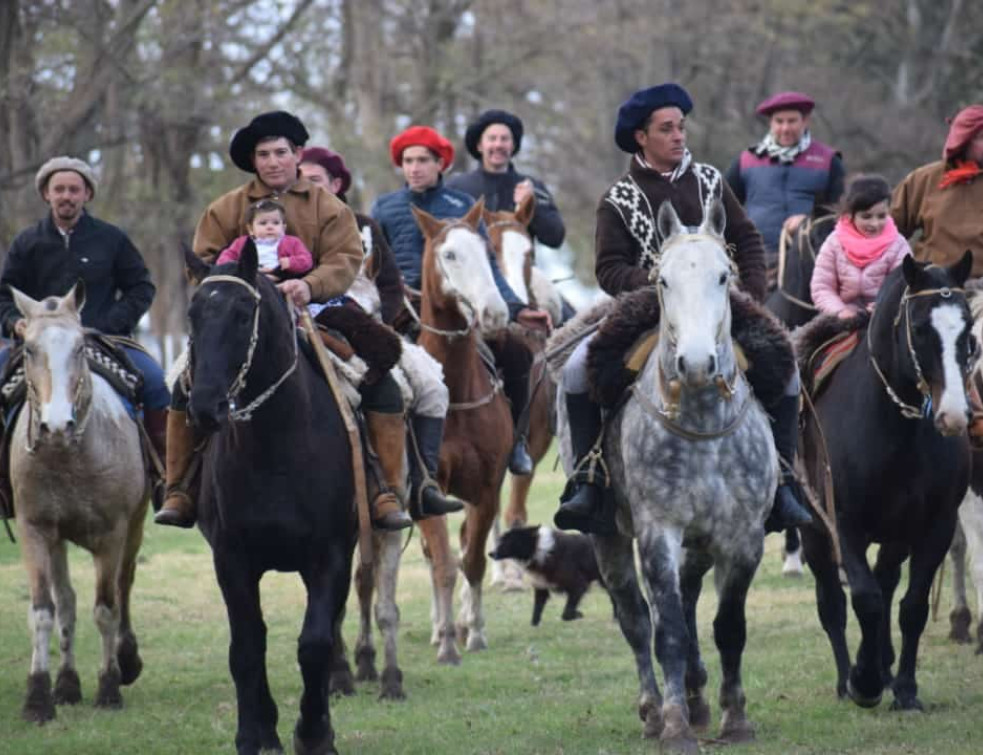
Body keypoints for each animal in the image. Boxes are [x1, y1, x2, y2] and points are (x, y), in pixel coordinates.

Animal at [9, 283, 148, 723]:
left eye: (80, 348)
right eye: (29, 349)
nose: (56, 426)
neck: (67, 456)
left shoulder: (112, 533)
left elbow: (106, 608)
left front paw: (109, 688)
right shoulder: (36, 530)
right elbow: (44, 611)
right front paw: (39, 697)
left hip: (135, 527)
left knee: (123, 585)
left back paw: (126, 659)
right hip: (58, 540)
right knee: (66, 602)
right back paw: (67, 683)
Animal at [183, 242, 356, 755]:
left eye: (243, 315)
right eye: (193, 314)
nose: (205, 406)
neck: (277, 445)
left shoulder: (332, 554)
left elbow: (315, 643)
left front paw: (314, 734)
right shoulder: (231, 558)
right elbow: (245, 648)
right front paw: (253, 735)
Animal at [557, 200, 778, 752]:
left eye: (724, 276)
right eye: (662, 281)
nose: (696, 363)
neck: (702, 424)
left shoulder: (743, 537)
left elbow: (728, 626)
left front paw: (734, 717)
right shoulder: (657, 532)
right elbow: (668, 631)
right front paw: (676, 725)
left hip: (698, 542)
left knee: (688, 595)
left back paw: (698, 695)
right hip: (610, 537)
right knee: (638, 618)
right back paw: (656, 709)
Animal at [798, 252, 974, 710]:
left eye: (968, 328)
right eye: (920, 328)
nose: (954, 415)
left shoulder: (935, 526)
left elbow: (911, 607)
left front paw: (905, 688)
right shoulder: (843, 522)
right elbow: (865, 599)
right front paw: (864, 681)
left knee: (887, 578)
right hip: (813, 531)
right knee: (833, 602)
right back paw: (848, 680)